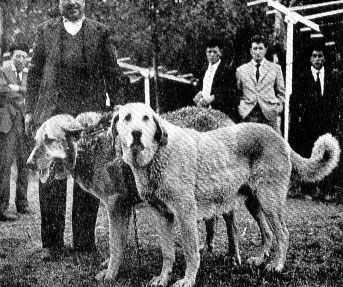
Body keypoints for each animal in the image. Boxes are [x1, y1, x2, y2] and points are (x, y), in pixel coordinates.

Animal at [113, 102, 342, 286]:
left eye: (146, 118)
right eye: (127, 118)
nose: (136, 134)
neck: (156, 156)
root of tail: (279, 138)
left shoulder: (185, 214)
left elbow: (190, 251)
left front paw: (188, 280)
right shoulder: (162, 216)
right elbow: (168, 253)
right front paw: (163, 278)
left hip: (269, 201)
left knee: (283, 234)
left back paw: (276, 266)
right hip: (254, 203)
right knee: (268, 233)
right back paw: (260, 260)